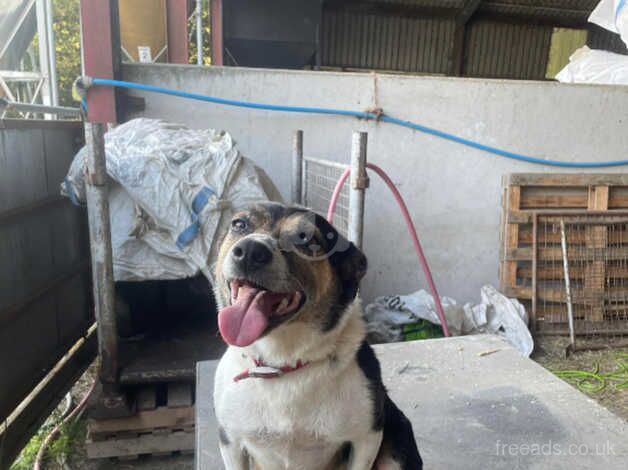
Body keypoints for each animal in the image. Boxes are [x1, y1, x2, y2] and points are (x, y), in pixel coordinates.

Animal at [211, 203, 422, 470]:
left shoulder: (367, 438)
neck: (281, 364)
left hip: (398, 443)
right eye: (239, 224)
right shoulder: (231, 441)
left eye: (307, 239)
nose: (249, 251)